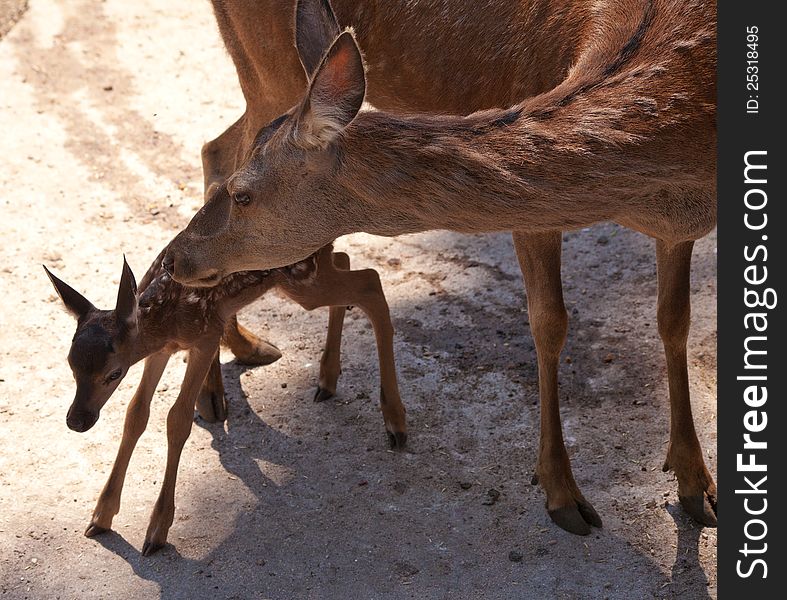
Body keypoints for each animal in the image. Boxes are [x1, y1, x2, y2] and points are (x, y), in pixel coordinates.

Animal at [47, 226, 410, 556]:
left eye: (114, 373)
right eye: (70, 364)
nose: (76, 420)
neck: (168, 318)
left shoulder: (207, 334)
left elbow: (177, 419)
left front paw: (157, 531)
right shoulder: (161, 349)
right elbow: (136, 413)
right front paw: (101, 516)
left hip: (302, 280)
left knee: (371, 282)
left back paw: (395, 423)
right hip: (307, 278)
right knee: (348, 263)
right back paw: (327, 380)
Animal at [172, 0, 720, 536]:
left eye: (244, 197)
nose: (177, 257)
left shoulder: (681, 225)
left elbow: (674, 321)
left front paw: (697, 486)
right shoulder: (535, 210)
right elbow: (550, 324)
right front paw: (563, 494)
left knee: (215, 146)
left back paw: (265, 358)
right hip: (265, 67)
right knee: (217, 147)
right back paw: (221, 382)